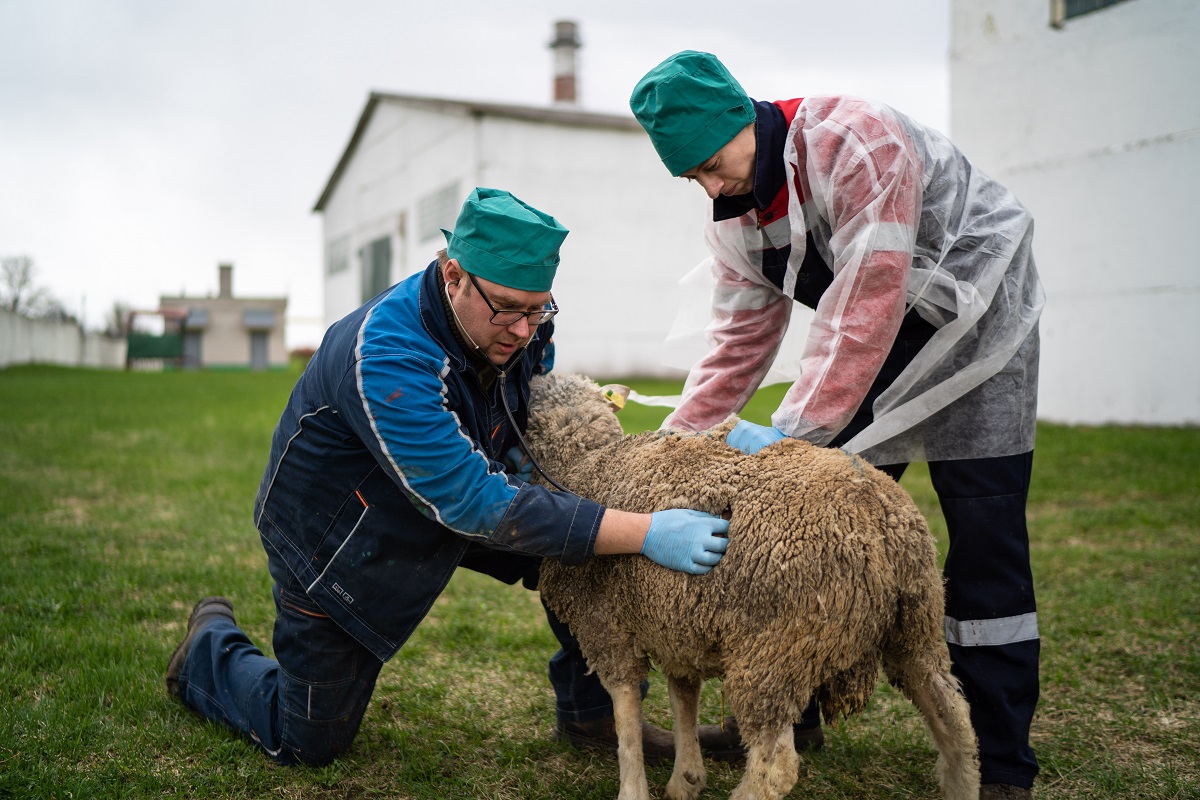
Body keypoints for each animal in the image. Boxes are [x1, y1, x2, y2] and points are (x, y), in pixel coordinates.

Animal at [530, 374, 979, 800]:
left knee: (776, 767)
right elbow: (683, 697)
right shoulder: (674, 620)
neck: (581, 463)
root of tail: (877, 517)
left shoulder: (604, 624)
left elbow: (626, 715)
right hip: (916, 625)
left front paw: (633, 789)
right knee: (956, 722)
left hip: (776, 649)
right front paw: (686, 778)